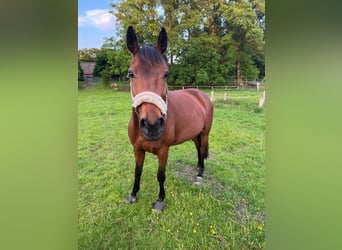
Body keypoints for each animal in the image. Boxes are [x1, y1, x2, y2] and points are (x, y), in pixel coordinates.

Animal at [125, 26, 212, 211]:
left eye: (166, 74)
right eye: (131, 74)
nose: (152, 126)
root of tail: (201, 95)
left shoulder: (163, 150)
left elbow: (160, 175)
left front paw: (160, 200)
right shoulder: (137, 149)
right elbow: (137, 172)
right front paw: (133, 194)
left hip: (205, 132)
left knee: (202, 149)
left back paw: (200, 174)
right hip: (194, 134)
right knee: (198, 149)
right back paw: (198, 167)